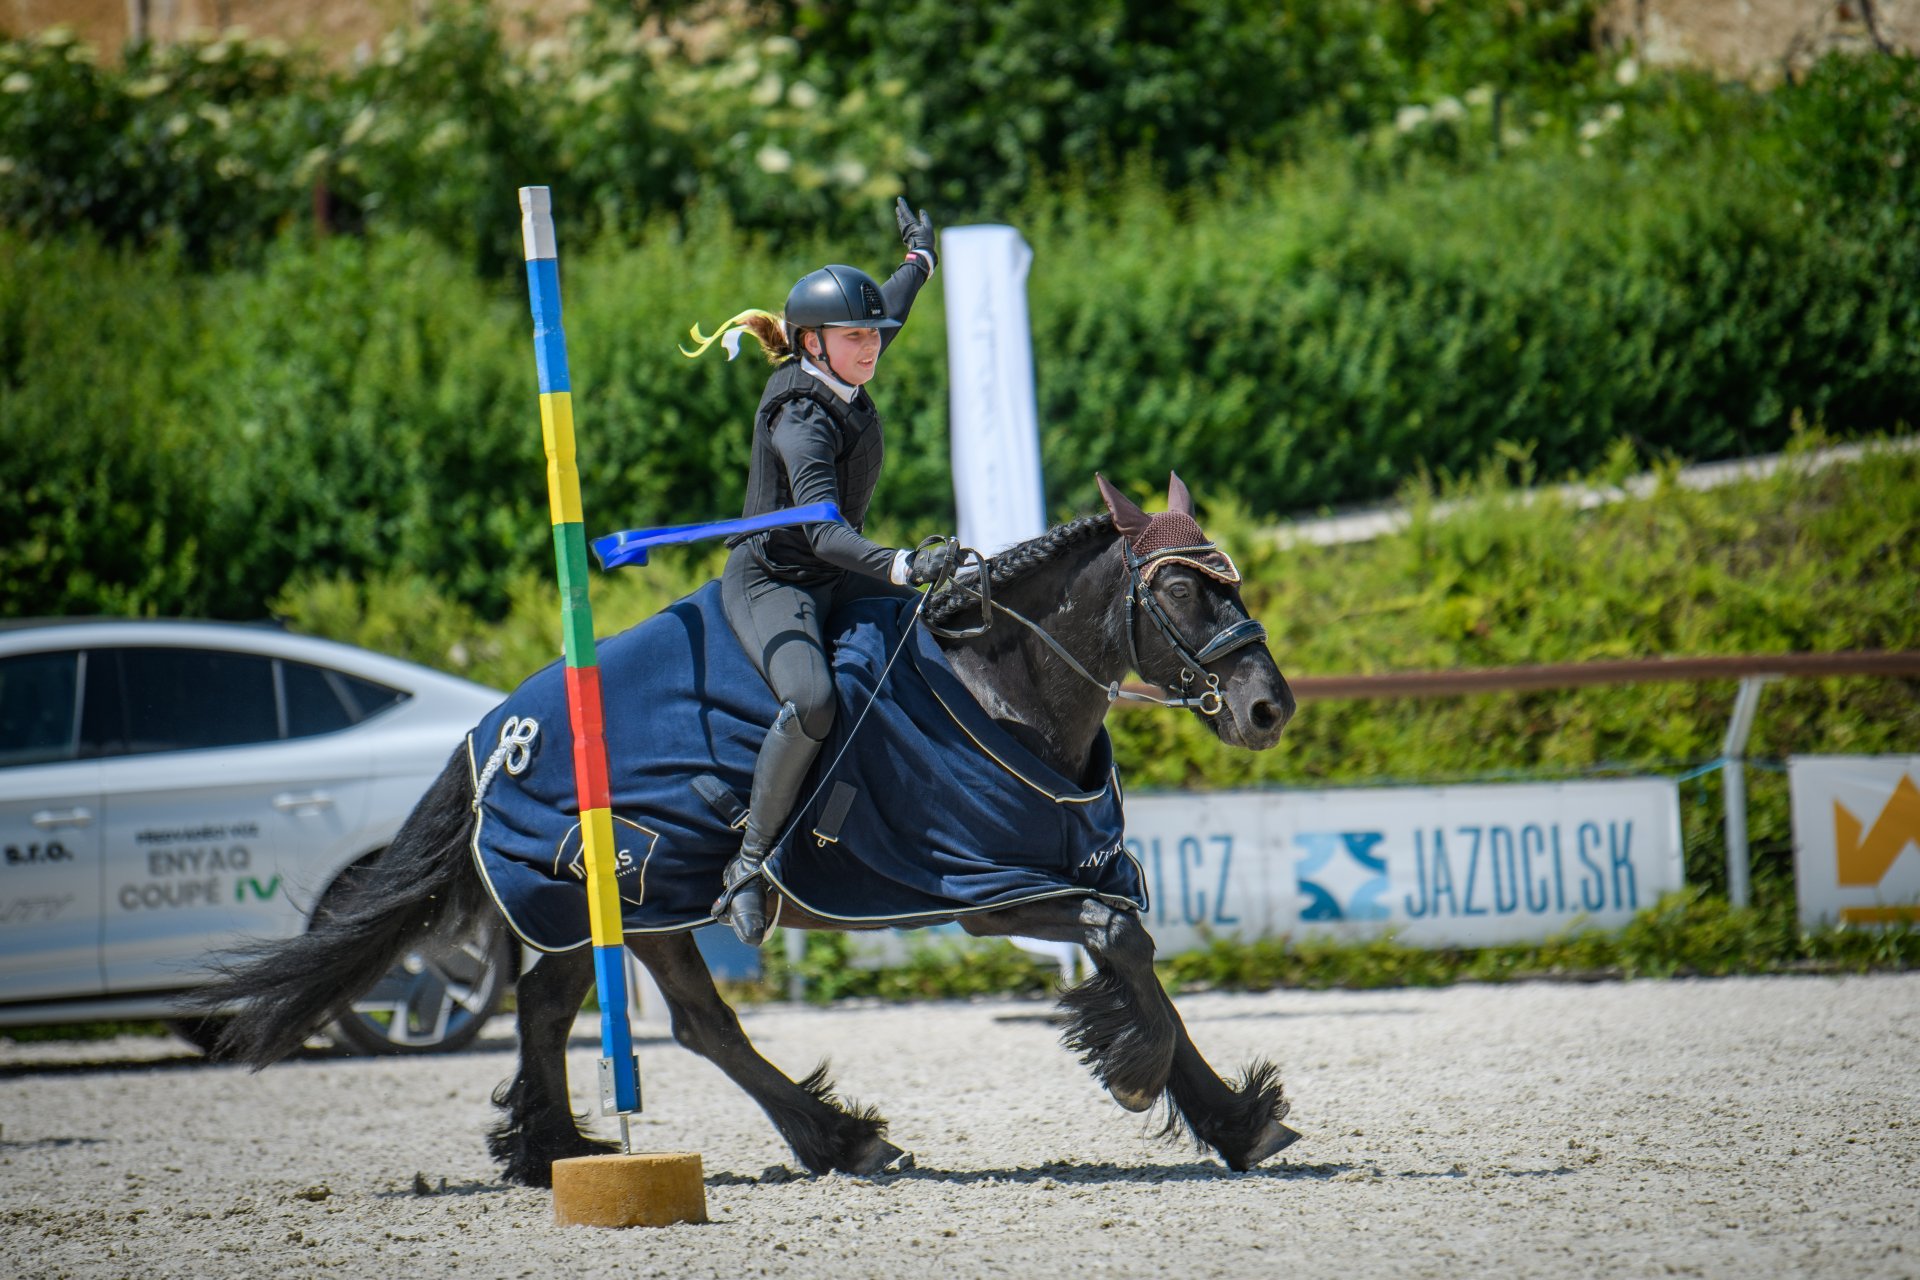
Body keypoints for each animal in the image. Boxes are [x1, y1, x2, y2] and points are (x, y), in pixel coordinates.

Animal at [194, 475, 1297, 1189]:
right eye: (1183, 587)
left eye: (1236, 581)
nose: (1267, 708)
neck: (1001, 683)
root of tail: (491, 735)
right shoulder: (989, 890)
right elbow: (1122, 945)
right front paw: (1143, 1076)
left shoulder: (1073, 865)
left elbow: (1136, 954)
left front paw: (1236, 1121)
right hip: (624, 895)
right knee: (666, 1022)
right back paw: (821, 1141)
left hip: (623, 909)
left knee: (590, 1013)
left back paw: (572, 1149)